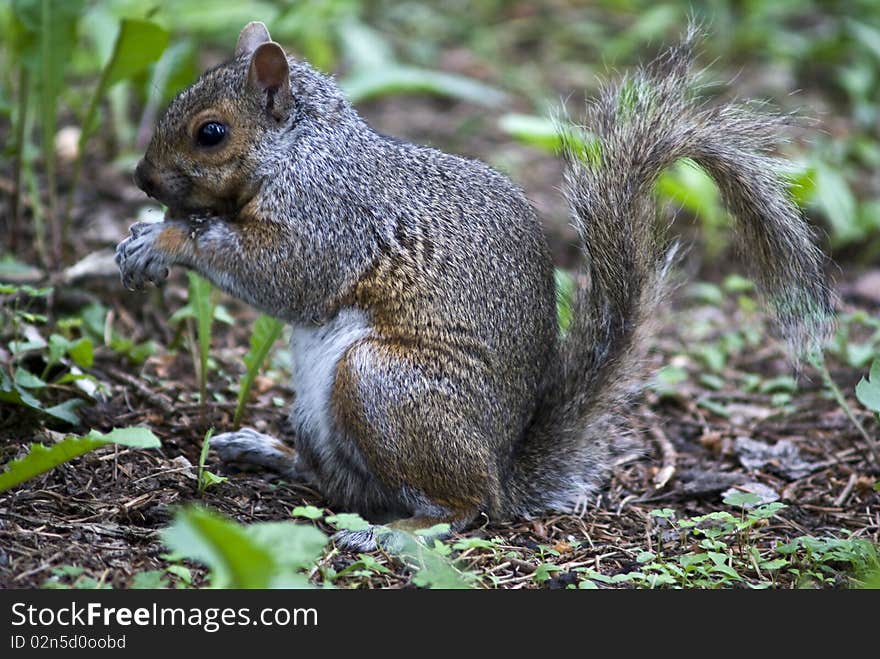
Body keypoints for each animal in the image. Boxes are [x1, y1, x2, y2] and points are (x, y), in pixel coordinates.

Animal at [117, 20, 832, 548]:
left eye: (211, 133)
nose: (142, 181)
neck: (304, 151)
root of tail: (502, 470)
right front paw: (141, 235)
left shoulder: (330, 221)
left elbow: (285, 276)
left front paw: (165, 240)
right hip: (323, 412)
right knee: (342, 486)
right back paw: (263, 449)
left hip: (384, 384)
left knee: (463, 509)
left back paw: (394, 532)